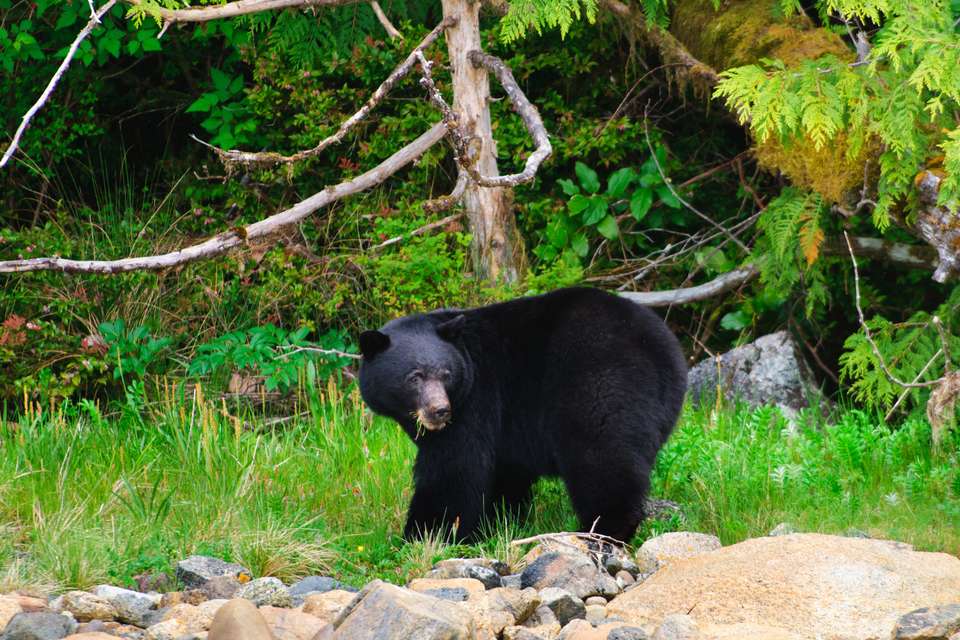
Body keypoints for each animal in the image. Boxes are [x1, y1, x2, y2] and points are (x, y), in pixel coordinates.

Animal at [357, 286, 687, 544]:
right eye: (414, 377)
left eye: (446, 374)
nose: (440, 410)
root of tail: (662, 348)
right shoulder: (508, 427)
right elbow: (505, 474)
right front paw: (498, 524)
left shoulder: (476, 401)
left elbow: (454, 468)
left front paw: (425, 534)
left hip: (600, 381)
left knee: (601, 456)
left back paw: (602, 529)